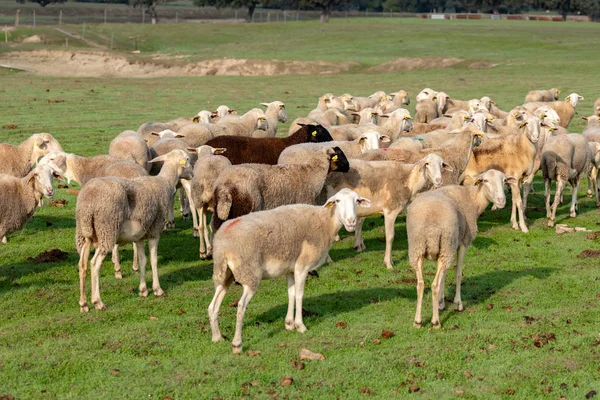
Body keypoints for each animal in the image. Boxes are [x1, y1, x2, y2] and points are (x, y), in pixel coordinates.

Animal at [75, 150, 192, 312]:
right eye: (187, 159)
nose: (192, 175)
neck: (165, 182)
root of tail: (87, 204)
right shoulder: (154, 231)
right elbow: (153, 260)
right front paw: (157, 289)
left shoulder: (140, 237)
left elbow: (143, 260)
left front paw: (143, 290)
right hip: (107, 231)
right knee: (94, 264)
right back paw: (98, 302)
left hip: (86, 234)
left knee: (82, 265)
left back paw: (83, 303)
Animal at [207, 188, 370, 354]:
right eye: (337, 201)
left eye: (357, 201)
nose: (351, 222)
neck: (326, 222)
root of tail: (223, 243)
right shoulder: (302, 266)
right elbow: (299, 295)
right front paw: (300, 325)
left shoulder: (290, 269)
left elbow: (290, 294)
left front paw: (289, 324)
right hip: (249, 273)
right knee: (240, 306)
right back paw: (237, 344)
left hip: (224, 273)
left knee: (212, 306)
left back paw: (217, 337)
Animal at [212, 146, 350, 231]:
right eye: (340, 155)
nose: (348, 167)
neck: (312, 172)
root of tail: (225, 184)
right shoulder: (304, 200)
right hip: (246, 206)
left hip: (221, 208)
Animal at [408, 169, 516, 328]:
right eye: (486, 181)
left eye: (504, 181)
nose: (501, 201)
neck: (474, 199)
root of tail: (430, 226)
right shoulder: (463, 242)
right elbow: (458, 273)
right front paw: (457, 304)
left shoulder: (451, 246)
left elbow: (444, 275)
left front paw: (440, 303)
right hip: (444, 244)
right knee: (434, 285)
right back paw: (435, 321)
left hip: (419, 248)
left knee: (421, 284)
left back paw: (417, 320)